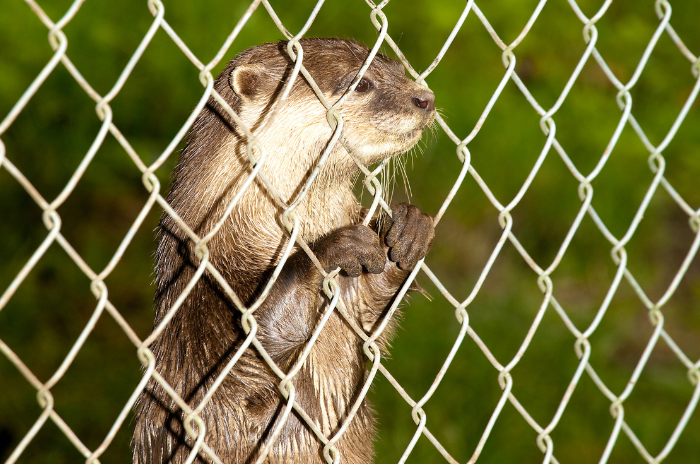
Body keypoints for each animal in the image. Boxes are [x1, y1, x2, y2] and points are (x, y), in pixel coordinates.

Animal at [133, 38, 436, 464]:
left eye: (399, 69)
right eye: (361, 83)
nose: (425, 98)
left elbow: (369, 312)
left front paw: (407, 230)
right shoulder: (198, 324)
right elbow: (254, 338)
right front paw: (331, 249)